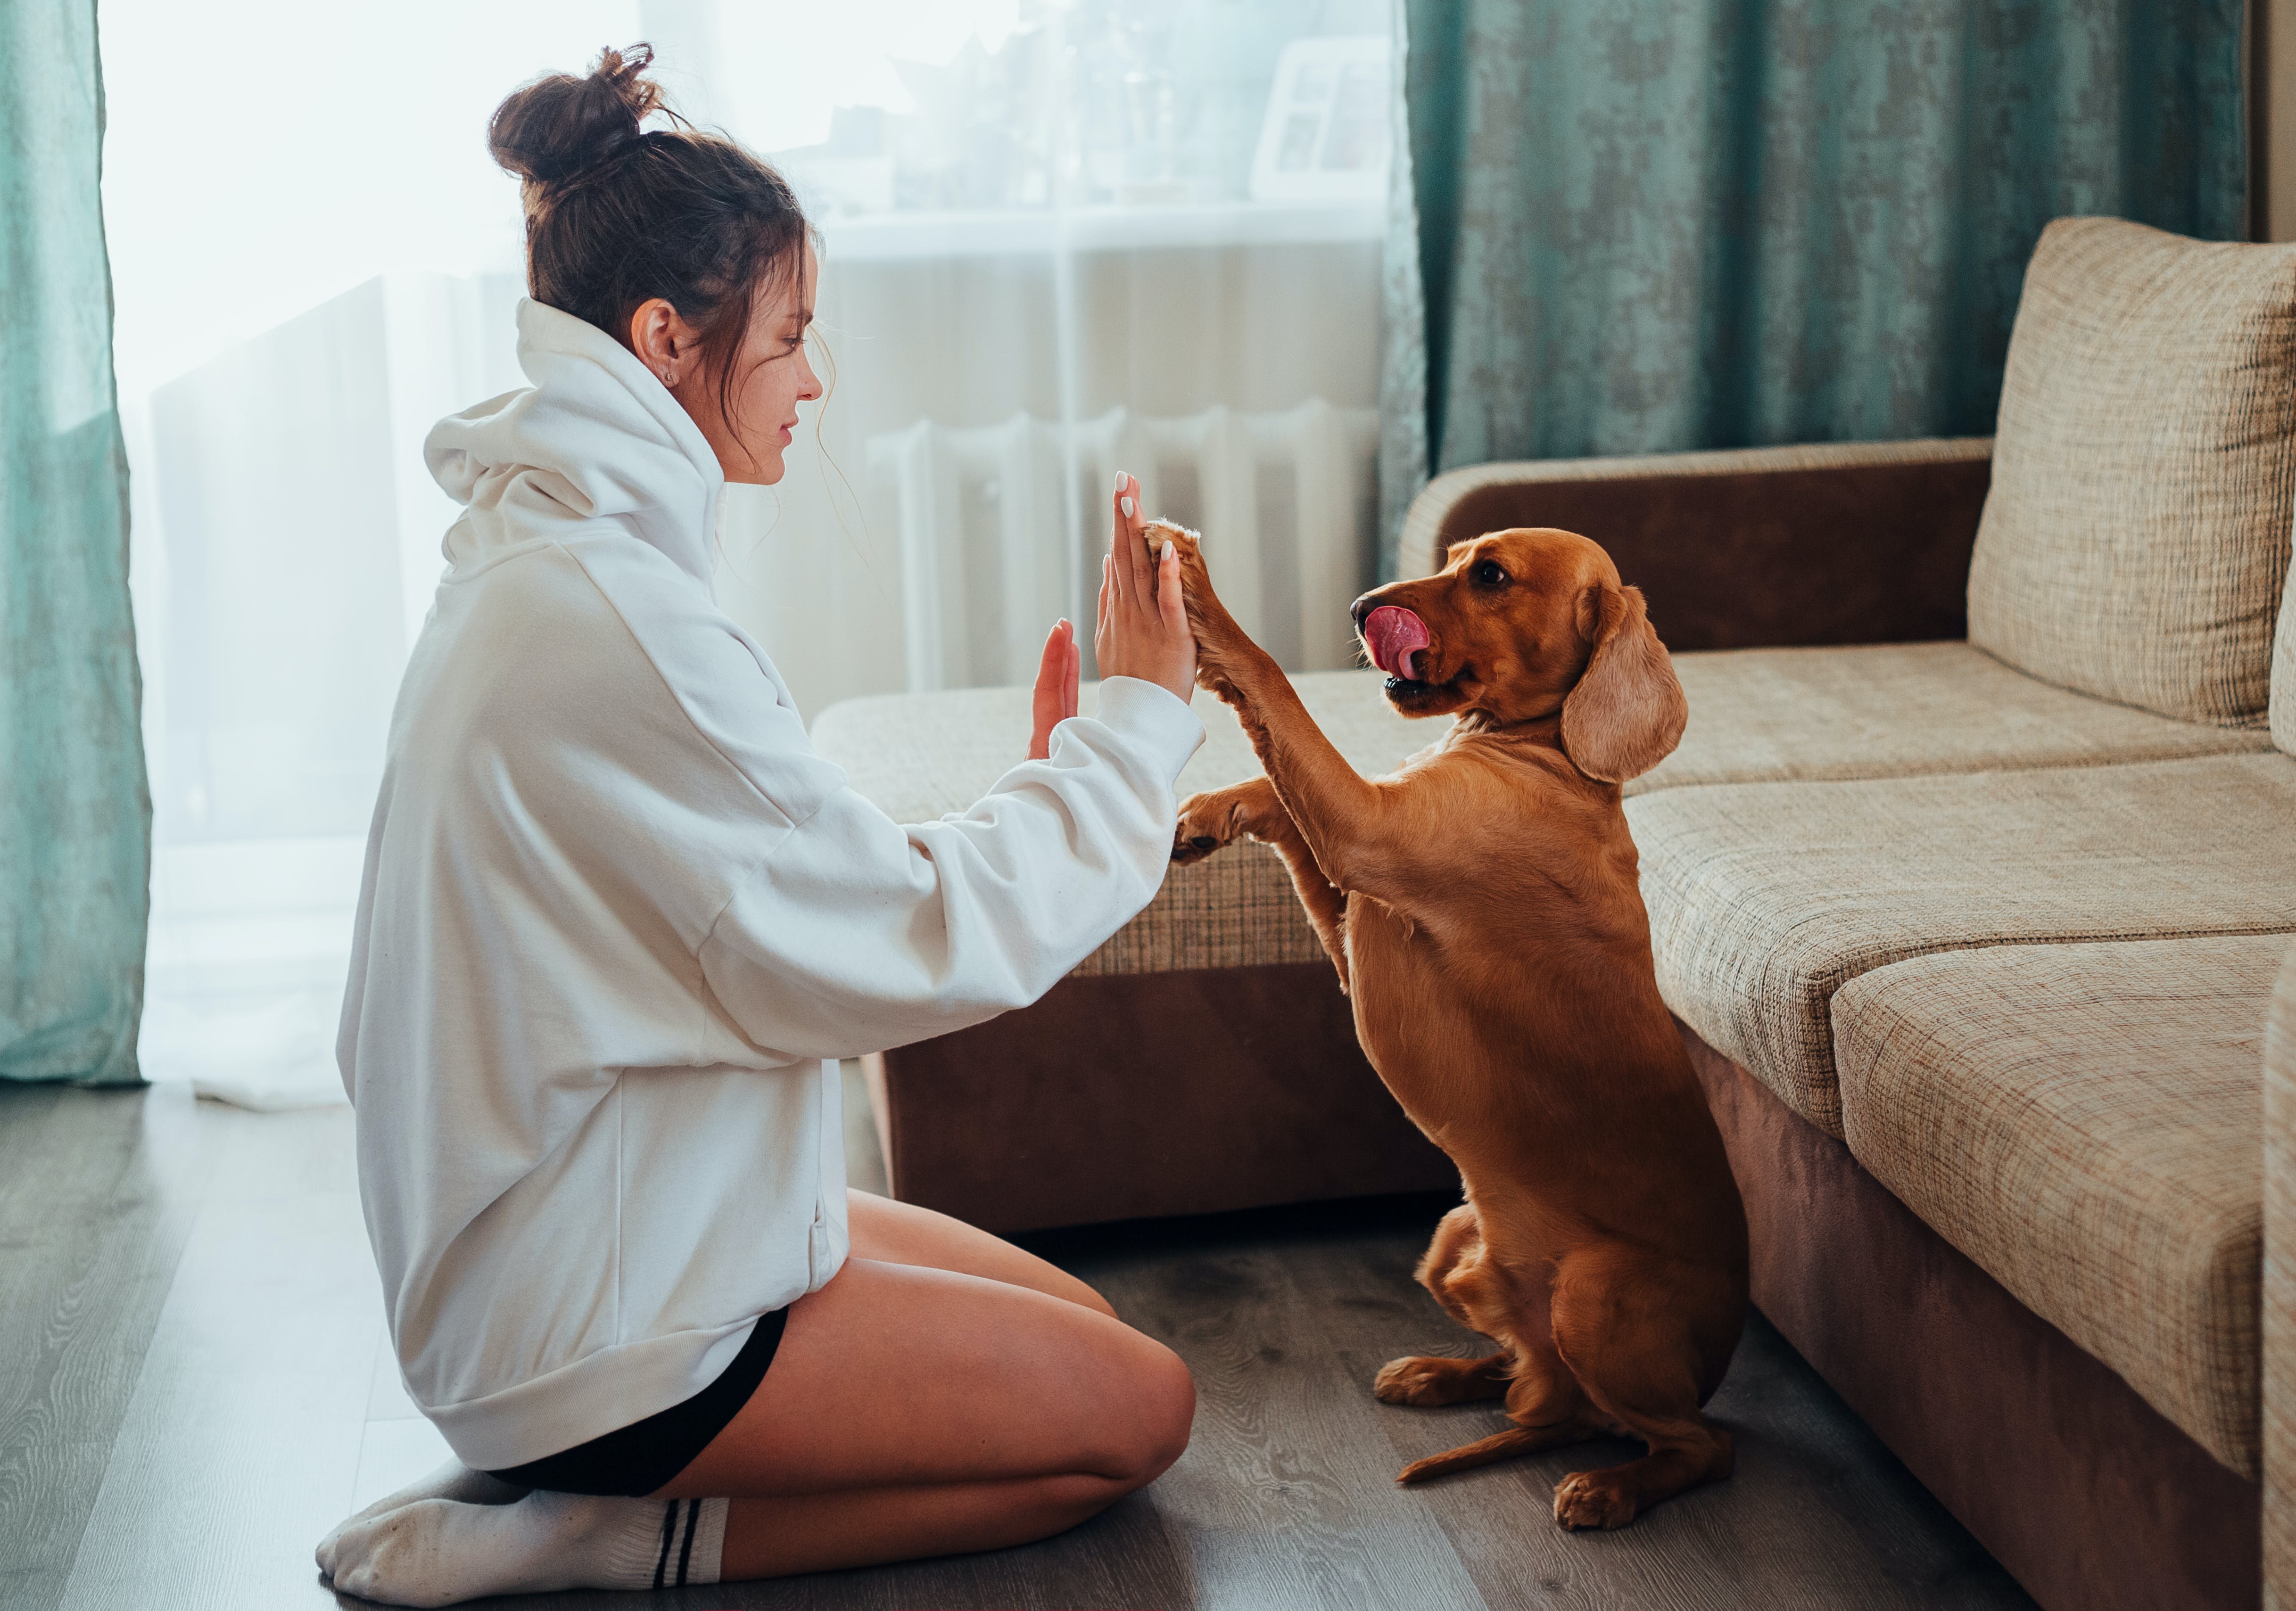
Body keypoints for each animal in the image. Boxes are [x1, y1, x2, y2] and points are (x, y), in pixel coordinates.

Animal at [1157, 523, 1745, 1533]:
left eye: (1492, 575)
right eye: (1454, 553)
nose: (1362, 607)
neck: (1543, 751)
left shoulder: (1366, 830)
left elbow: (1273, 687)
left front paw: (1199, 594)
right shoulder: (1354, 898)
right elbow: (1280, 794)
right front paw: (1206, 812)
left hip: (1593, 1295)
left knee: (1695, 1445)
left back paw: (1610, 1488)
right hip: (1452, 1239)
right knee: (1533, 1380)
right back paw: (1441, 1373)